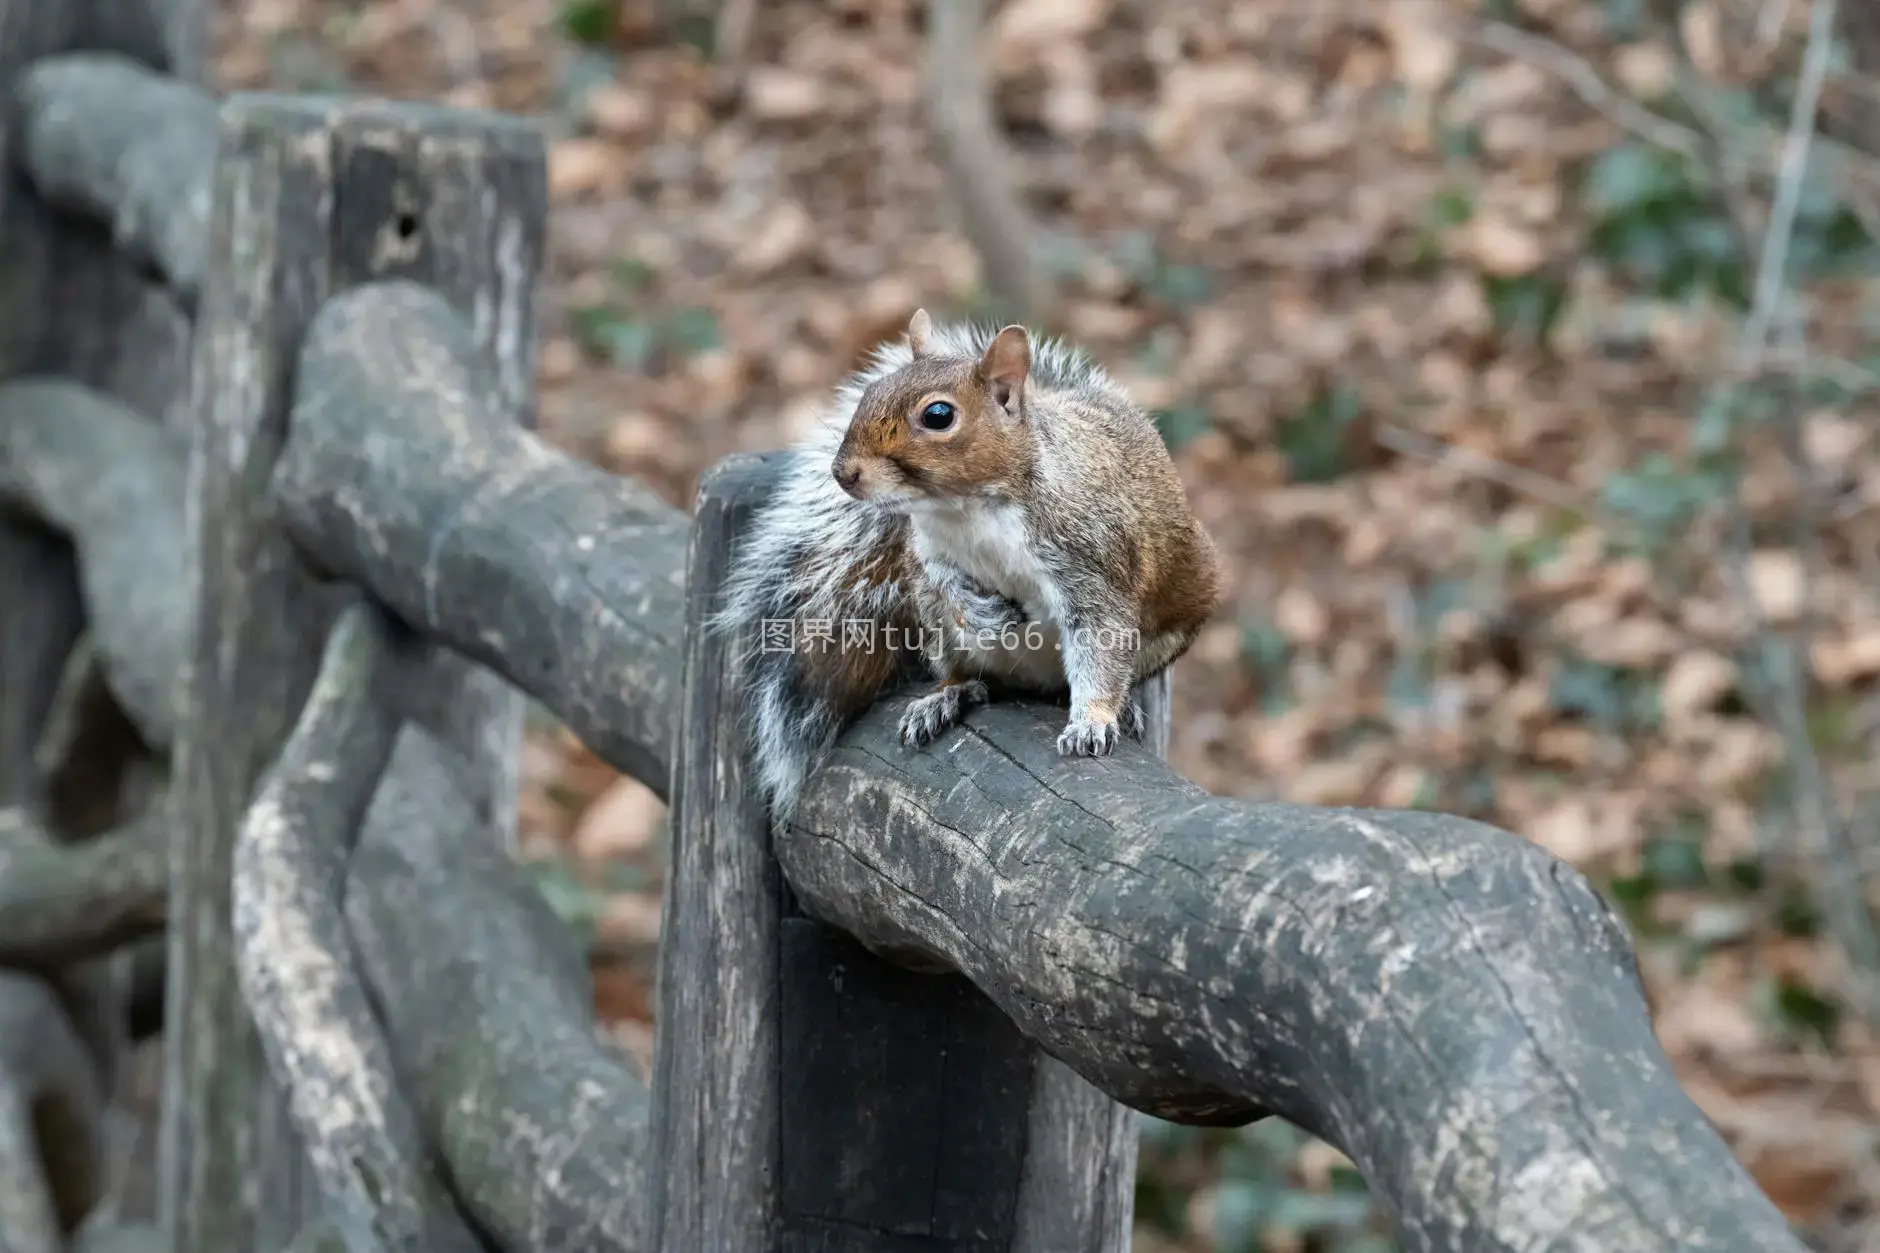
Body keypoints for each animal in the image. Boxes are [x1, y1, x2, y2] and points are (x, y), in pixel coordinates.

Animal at [710, 308, 1225, 820]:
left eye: (938, 415)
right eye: (872, 391)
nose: (843, 473)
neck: (969, 511)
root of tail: (1035, 680)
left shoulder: (1091, 563)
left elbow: (1101, 643)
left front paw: (1093, 721)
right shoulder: (929, 553)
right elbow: (945, 582)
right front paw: (982, 612)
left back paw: (1125, 706)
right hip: (939, 631)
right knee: (972, 674)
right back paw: (945, 696)